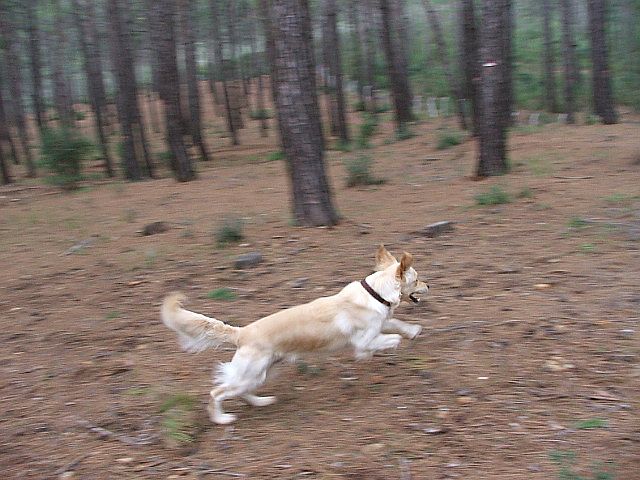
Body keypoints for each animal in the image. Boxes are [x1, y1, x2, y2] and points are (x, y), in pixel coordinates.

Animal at [162, 246, 428, 422]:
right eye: (416, 279)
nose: (429, 285)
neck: (376, 292)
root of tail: (241, 333)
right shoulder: (363, 340)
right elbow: (385, 339)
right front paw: (387, 347)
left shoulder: (380, 322)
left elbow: (397, 324)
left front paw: (413, 331)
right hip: (250, 374)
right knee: (216, 392)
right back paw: (222, 419)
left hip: (261, 373)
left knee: (243, 391)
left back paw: (262, 402)